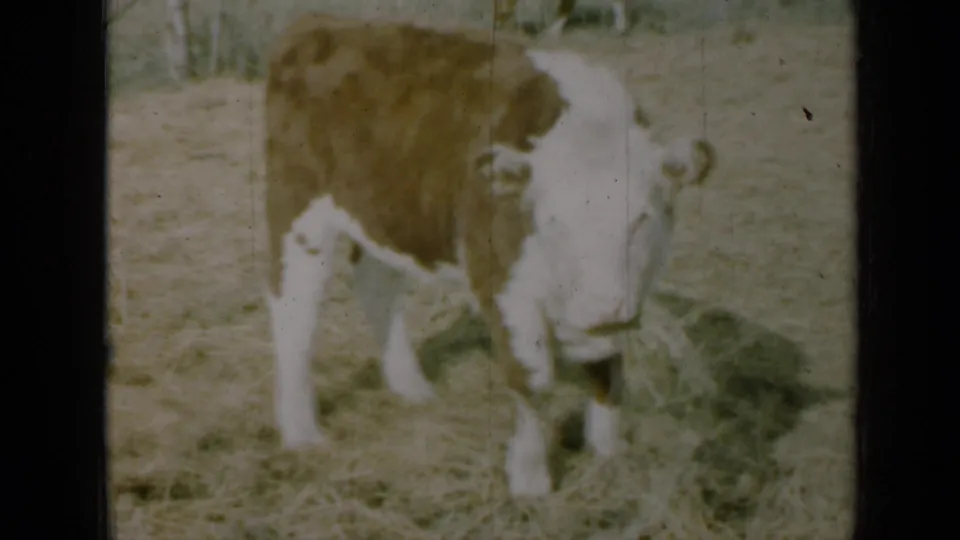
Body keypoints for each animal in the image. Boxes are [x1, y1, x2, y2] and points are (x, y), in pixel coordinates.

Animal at [263, 13, 715, 497]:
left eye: (642, 218)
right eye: (553, 220)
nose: (602, 307)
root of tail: (323, 22)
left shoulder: (628, 295)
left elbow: (607, 368)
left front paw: (607, 456)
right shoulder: (502, 282)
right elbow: (532, 377)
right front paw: (530, 479)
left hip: (386, 212)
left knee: (376, 285)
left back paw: (409, 385)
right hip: (298, 210)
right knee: (294, 309)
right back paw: (301, 429)